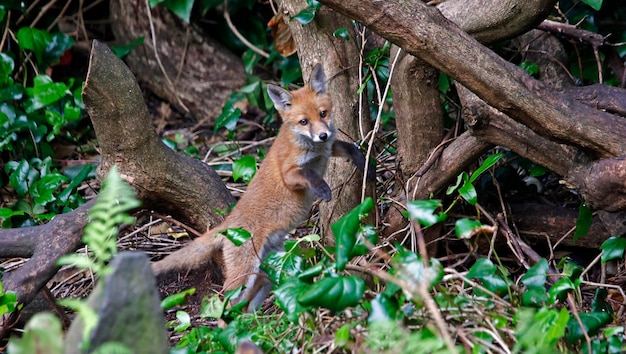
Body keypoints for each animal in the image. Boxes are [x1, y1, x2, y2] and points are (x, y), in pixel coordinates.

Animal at [152, 63, 370, 310]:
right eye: (303, 122)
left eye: (323, 113)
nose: (323, 134)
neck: (314, 148)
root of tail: (228, 224)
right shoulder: (289, 173)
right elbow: (309, 175)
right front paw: (323, 189)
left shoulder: (329, 148)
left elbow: (349, 147)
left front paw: (365, 164)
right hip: (244, 275)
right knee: (226, 300)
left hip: (267, 272)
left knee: (247, 307)